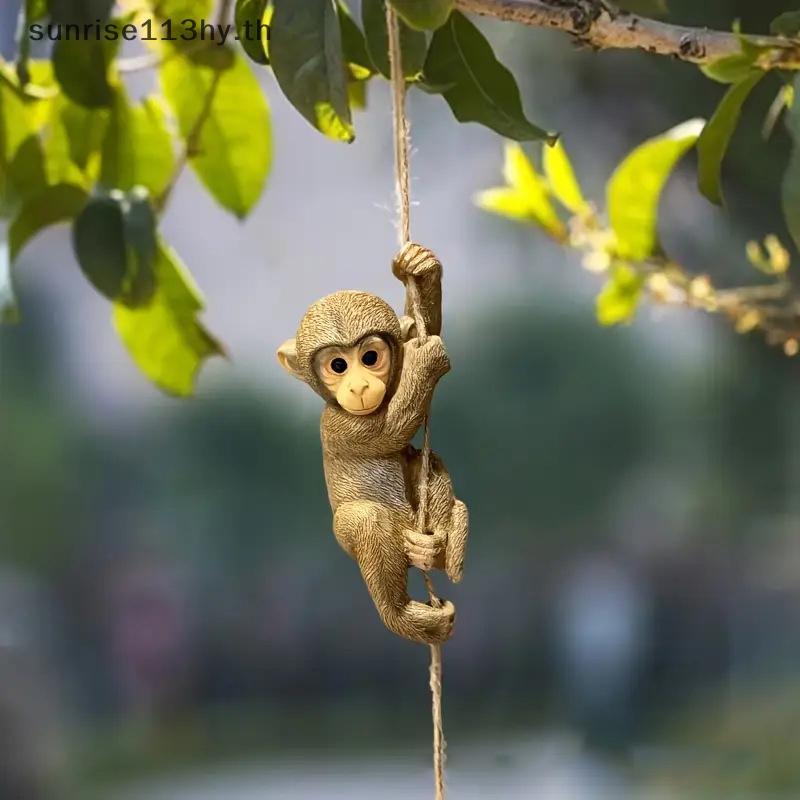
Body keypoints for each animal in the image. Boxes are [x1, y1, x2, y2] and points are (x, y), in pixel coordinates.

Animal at [277, 243, 468, 645]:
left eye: (370, 357)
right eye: (337, 365)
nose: (361, 385)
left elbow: (418, 328)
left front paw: (420, 268)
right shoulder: (338, 426)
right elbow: (390, 429)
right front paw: (427, 359)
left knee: (426, 461)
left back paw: (441, 544)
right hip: (356, 538)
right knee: (366, 521)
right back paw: (406, 615)